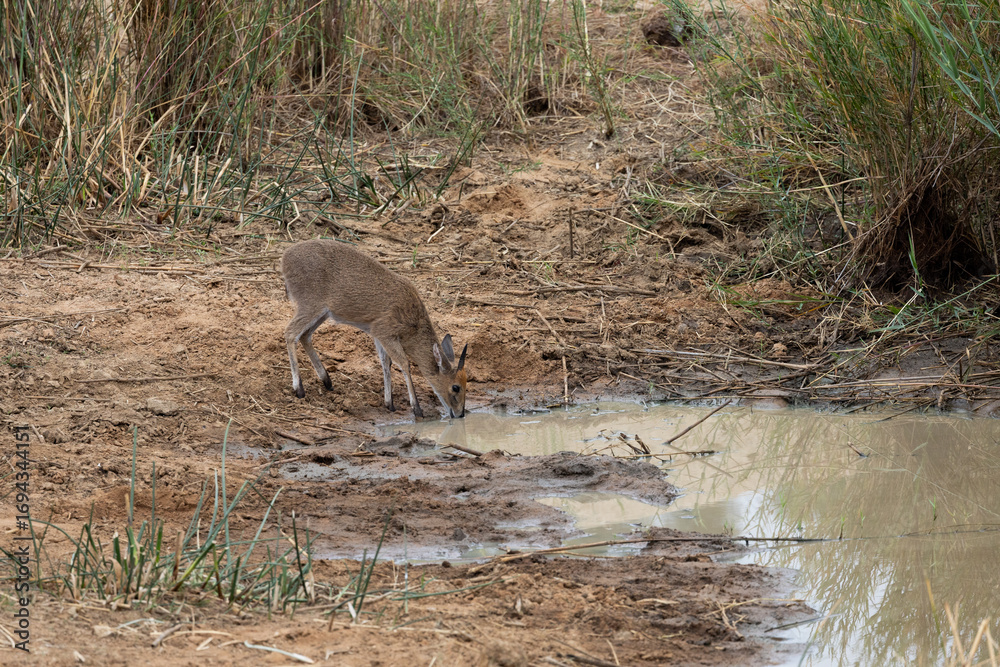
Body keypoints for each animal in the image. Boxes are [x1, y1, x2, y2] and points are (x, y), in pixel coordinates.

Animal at [280, 239, 468, 419]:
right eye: (456, 387)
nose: (460, 413)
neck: (413, 322)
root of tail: (285, 257)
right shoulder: (385, 332)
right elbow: (403, 363)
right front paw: (417, 409)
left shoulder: (377, 334)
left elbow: (386, 362)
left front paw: (389, 403)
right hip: (311, 306)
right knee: (290, 333)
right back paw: (299, 389)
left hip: (323, 313)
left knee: (304, 336)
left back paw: (327, 381)